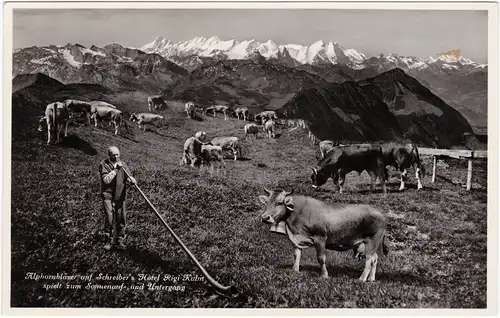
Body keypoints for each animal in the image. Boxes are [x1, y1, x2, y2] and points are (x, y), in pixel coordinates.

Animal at [260, 188, 388, 282]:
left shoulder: (320, 238)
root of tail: (380, 213)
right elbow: (296, 255)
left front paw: (324, 275)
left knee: (369, 260)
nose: (265, 217)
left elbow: (321, 258)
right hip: (371, 245)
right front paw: (295, 271)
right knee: (375, 258)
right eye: (266, 203)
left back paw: (361, 279)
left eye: (279, 203)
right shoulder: (296, 239)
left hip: (371, 241)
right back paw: (371, 279)